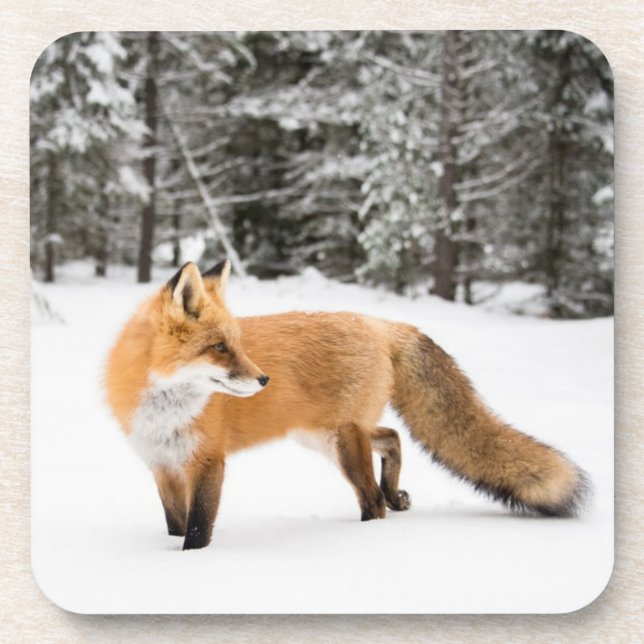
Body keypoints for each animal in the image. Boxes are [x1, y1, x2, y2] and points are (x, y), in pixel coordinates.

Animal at [105, 260, 590, 550]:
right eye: (220, 348)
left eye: (236, 345)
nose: (263, 379)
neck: (165, 410)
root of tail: (380, 323)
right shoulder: (162, 465)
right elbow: (175, 523)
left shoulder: (208, 462)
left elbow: (197, 529)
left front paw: (191, 565)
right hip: (325, 435)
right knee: (392, 437)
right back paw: (395, 494)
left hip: (341, 441)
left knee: (372, 499)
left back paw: (365, 532)